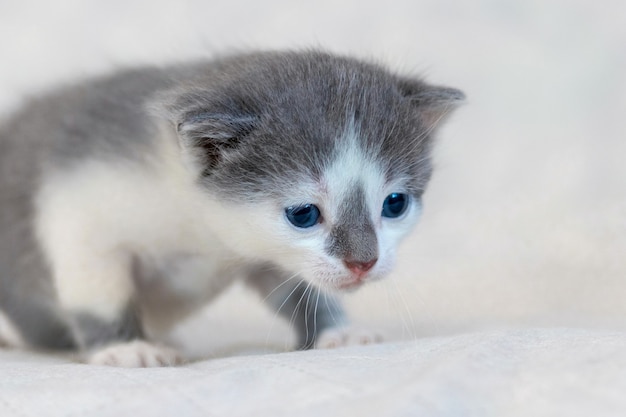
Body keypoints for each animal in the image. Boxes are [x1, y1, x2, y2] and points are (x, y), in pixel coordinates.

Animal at [0, 50, 458, 366]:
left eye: (395, 204)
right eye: (304, 214)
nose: (363, 263)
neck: (197, 218)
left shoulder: (266, 251)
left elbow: (299, 289)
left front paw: (336, 332)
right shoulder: (80, 208)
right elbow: (97, 289)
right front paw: (127, 347)